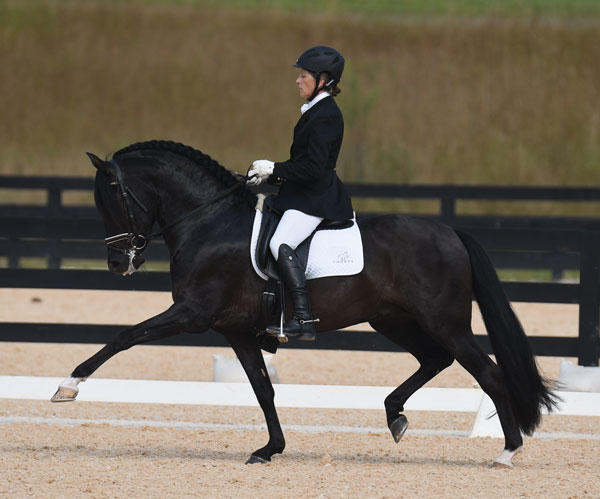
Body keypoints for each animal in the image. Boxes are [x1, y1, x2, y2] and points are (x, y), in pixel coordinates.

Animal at [51, 140, 556, 468]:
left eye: (112, 198)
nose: (118, 263)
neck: (210, 223)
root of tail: (450, 232)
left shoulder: (192, 314)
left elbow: (125, 335)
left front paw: (68, 386)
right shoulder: (235, 330)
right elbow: (262, 389)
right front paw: (269, 449)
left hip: (443, 321)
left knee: (486, 372)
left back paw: (507, 451)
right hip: (392, 321)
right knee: (435, 359)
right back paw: (395, 414)